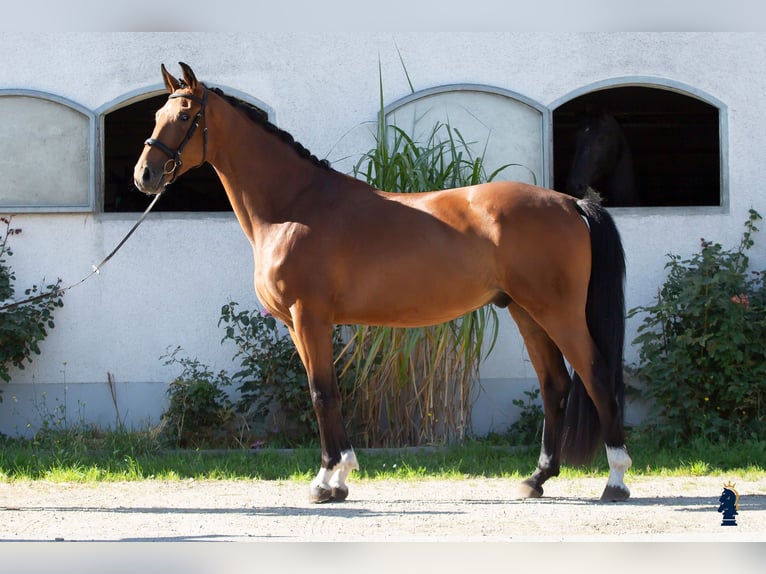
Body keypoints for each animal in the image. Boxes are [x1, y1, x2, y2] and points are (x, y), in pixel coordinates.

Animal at [133, 63, 632, 503]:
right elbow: (328, 392)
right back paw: (536, 479)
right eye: (156, 116)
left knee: (595, 376)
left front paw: (325, 481)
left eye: (184, 116)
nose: (145, 176)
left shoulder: (309, 317)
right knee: (555, 385)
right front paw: (340, 478)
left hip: (557, 313)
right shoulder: (299, 324)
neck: (293, 207)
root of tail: (571, 204)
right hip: (526, 312)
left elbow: (321, 393)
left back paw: (616, 481)